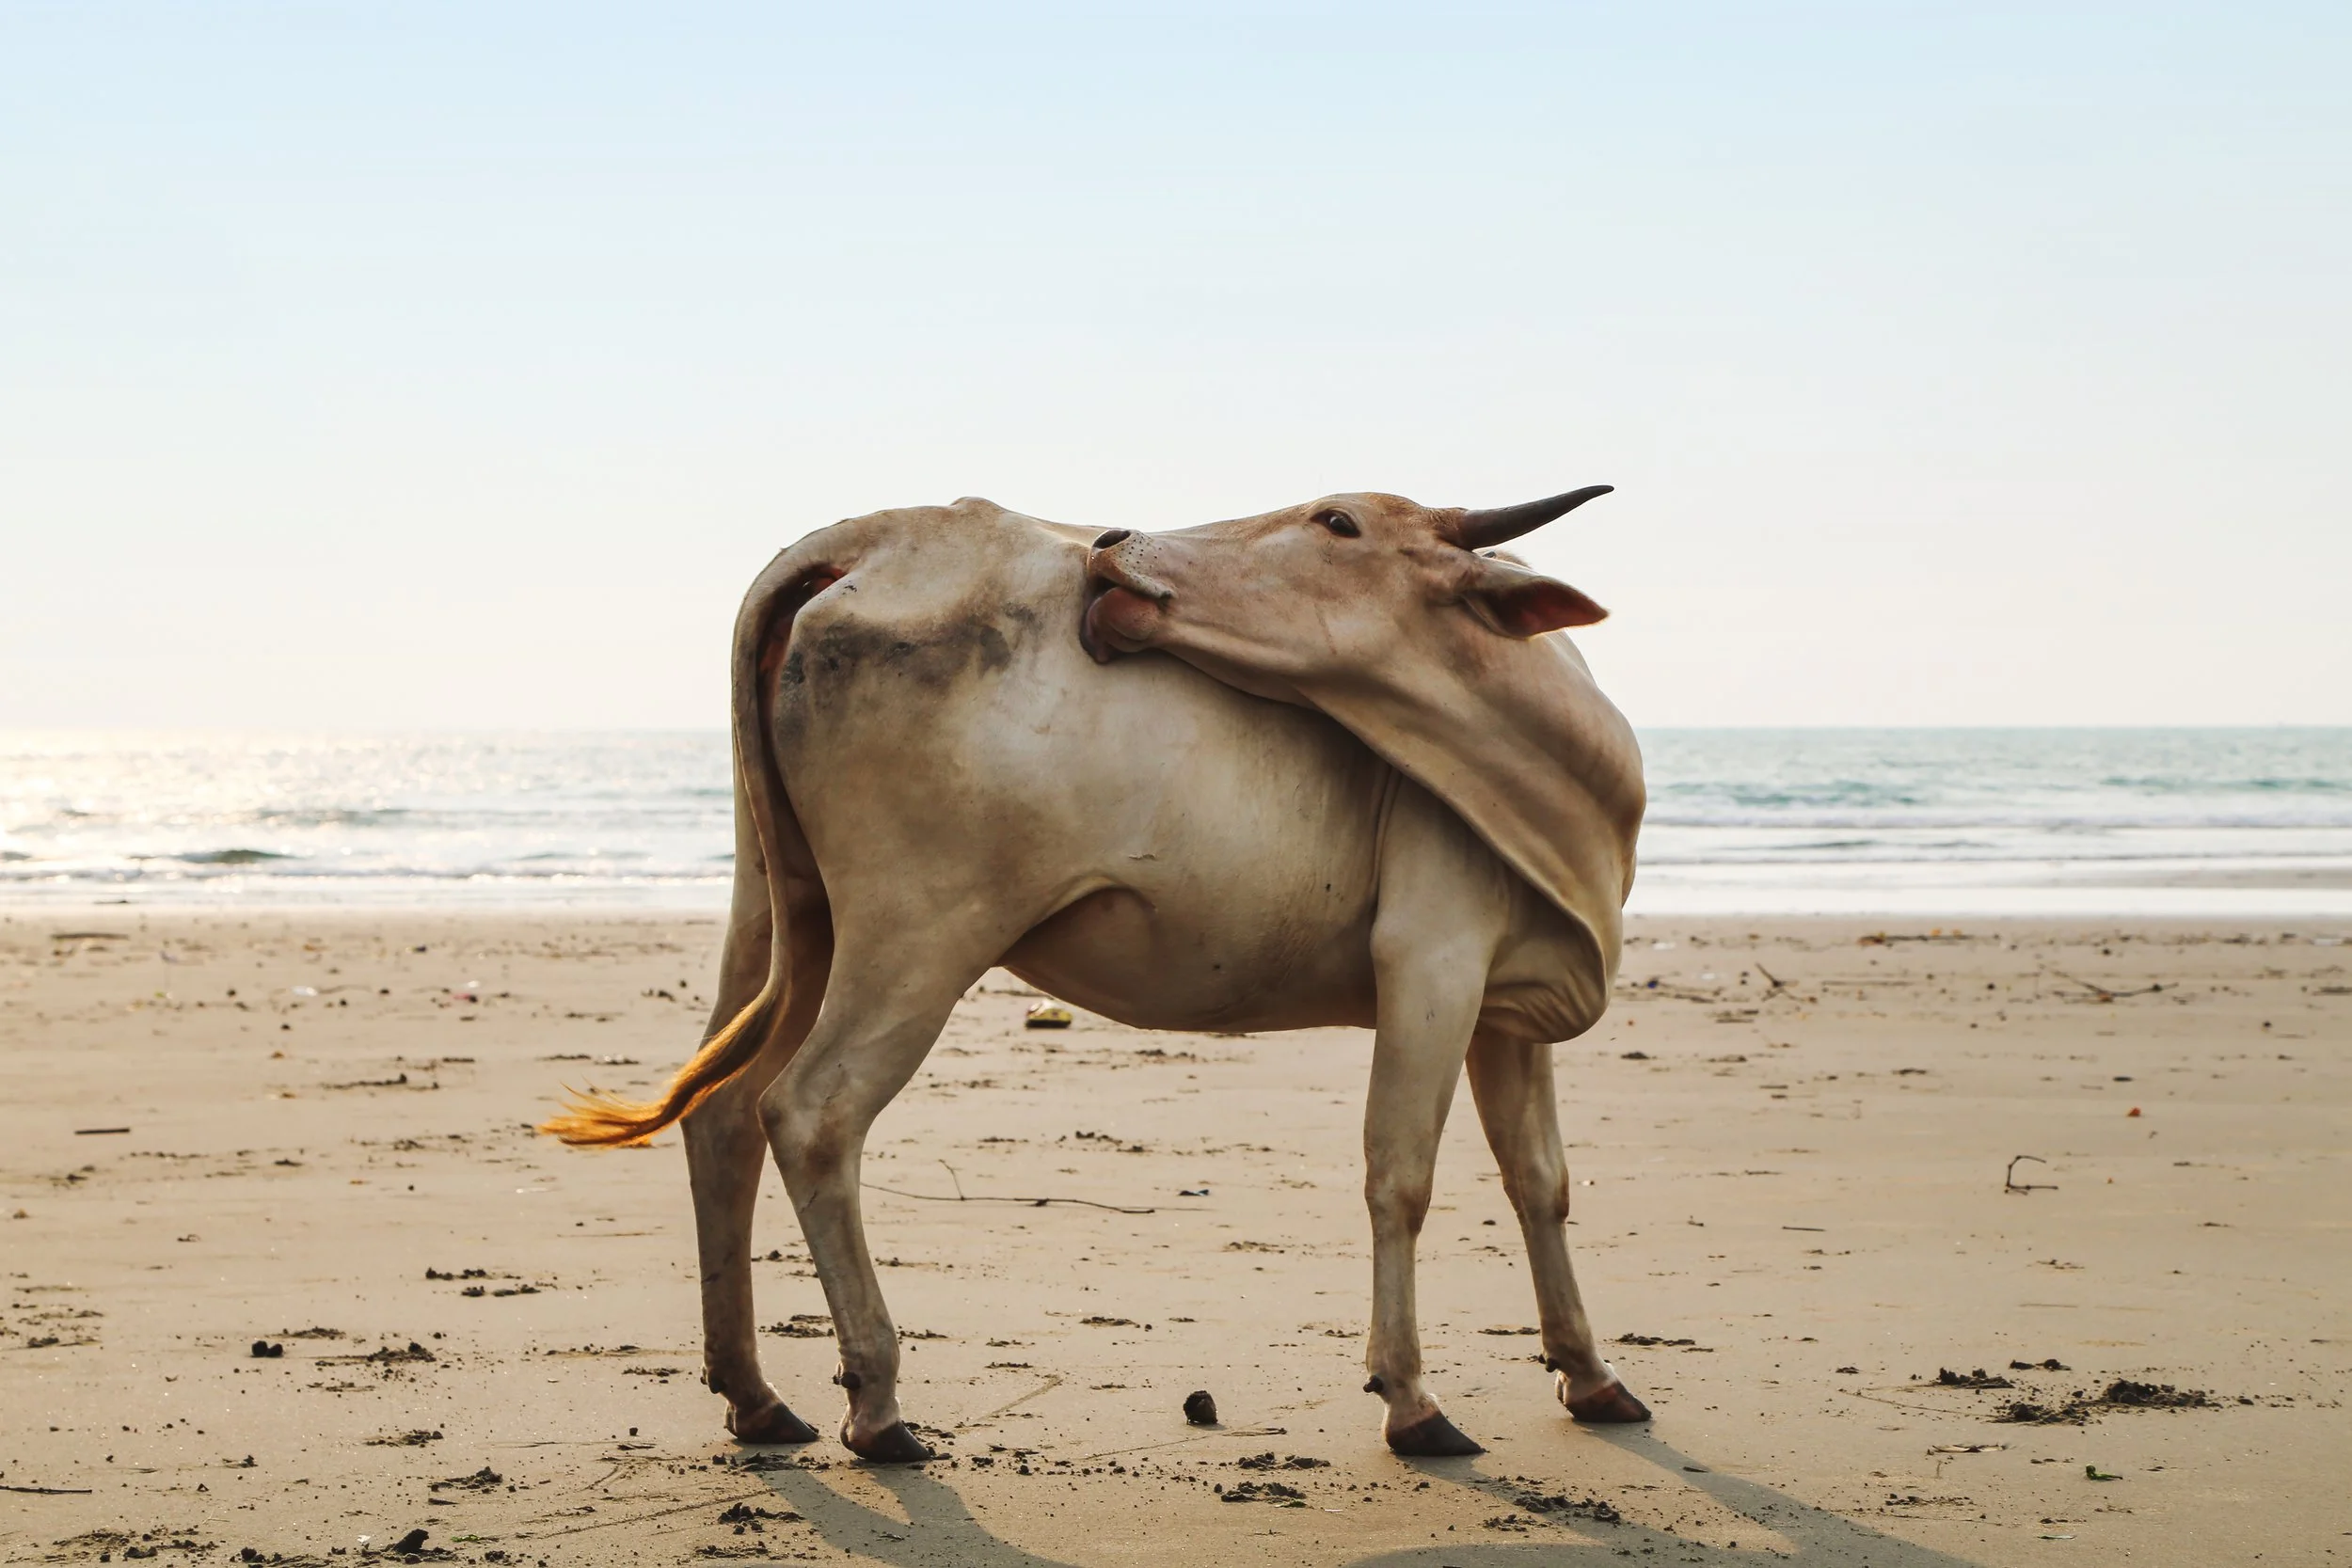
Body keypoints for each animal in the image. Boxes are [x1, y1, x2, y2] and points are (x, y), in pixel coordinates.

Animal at [546, 486, 1649, 1464]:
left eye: (1337, 520)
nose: (1112, 546)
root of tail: (876, 534)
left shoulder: (1505, 1006)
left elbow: (1540, 1180)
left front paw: (1591, 1373)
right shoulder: (1431, 960)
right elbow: (1401, 1175)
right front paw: (1412, 1399)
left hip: (782, 915)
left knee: (721, 1112)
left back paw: (754, 1393)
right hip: (919, 933)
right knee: (812, 1109)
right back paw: (877, 1403)